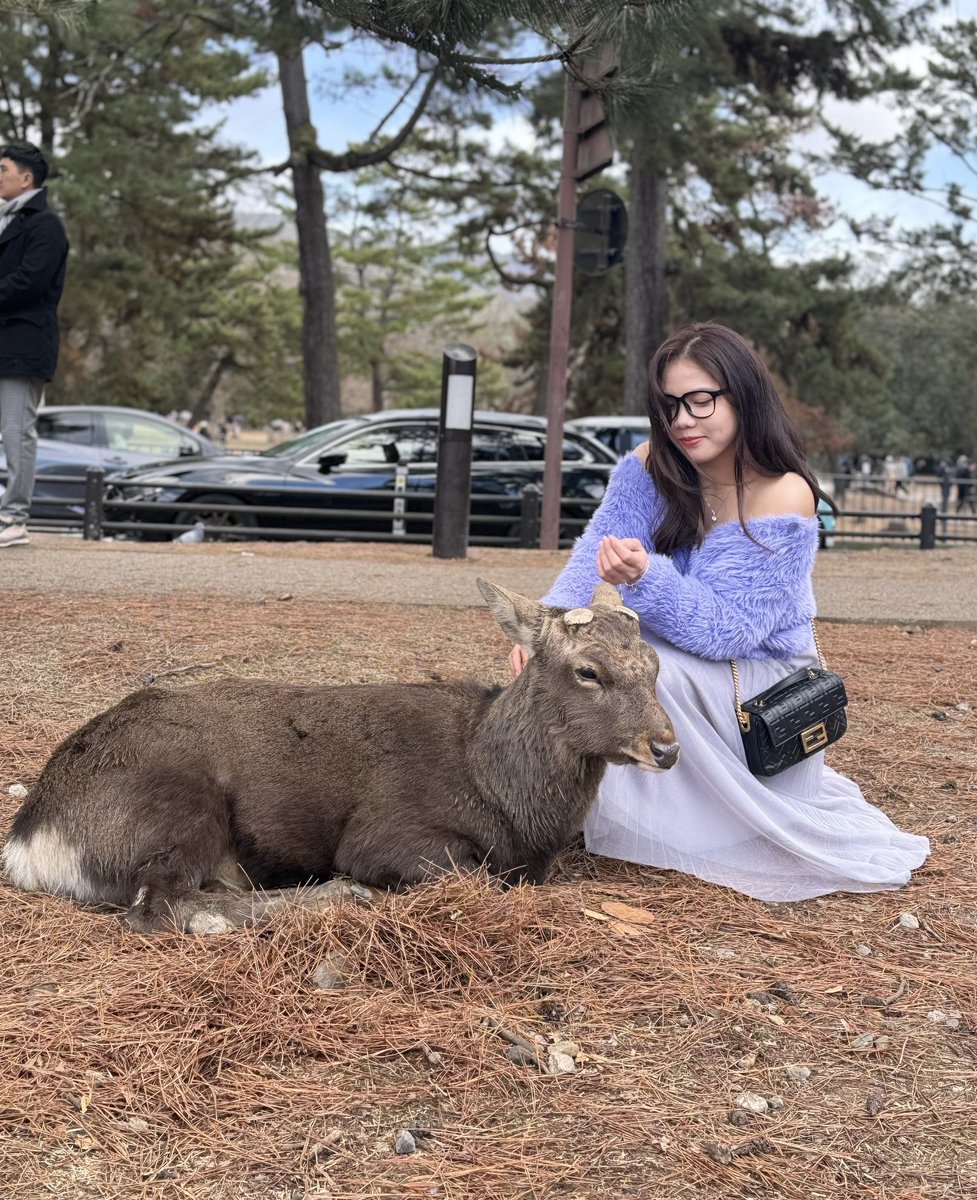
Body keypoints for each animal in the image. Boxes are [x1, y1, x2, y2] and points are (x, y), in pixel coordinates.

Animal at [1, 580, 678, 933]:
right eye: (588, 670)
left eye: (655, 664)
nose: (667, 746)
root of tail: (29, 840)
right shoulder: (387, 832)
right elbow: (468, 872)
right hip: (177, 799)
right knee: (162, 904)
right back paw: (337, 896)